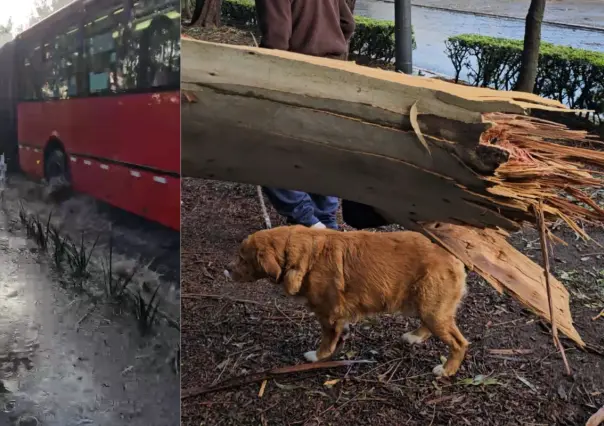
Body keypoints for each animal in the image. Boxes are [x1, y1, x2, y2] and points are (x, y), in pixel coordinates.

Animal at [225, 225, 468, 378]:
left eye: (242, 258)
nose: (226, 269)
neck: (303, 254)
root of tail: (452, 252)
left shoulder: (328, 314)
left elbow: (326, 340)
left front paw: (318, 356)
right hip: (426, 306)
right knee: (428, 325)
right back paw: (415, 336)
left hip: (432, 308)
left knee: (459, 343)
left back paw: (447, 370)